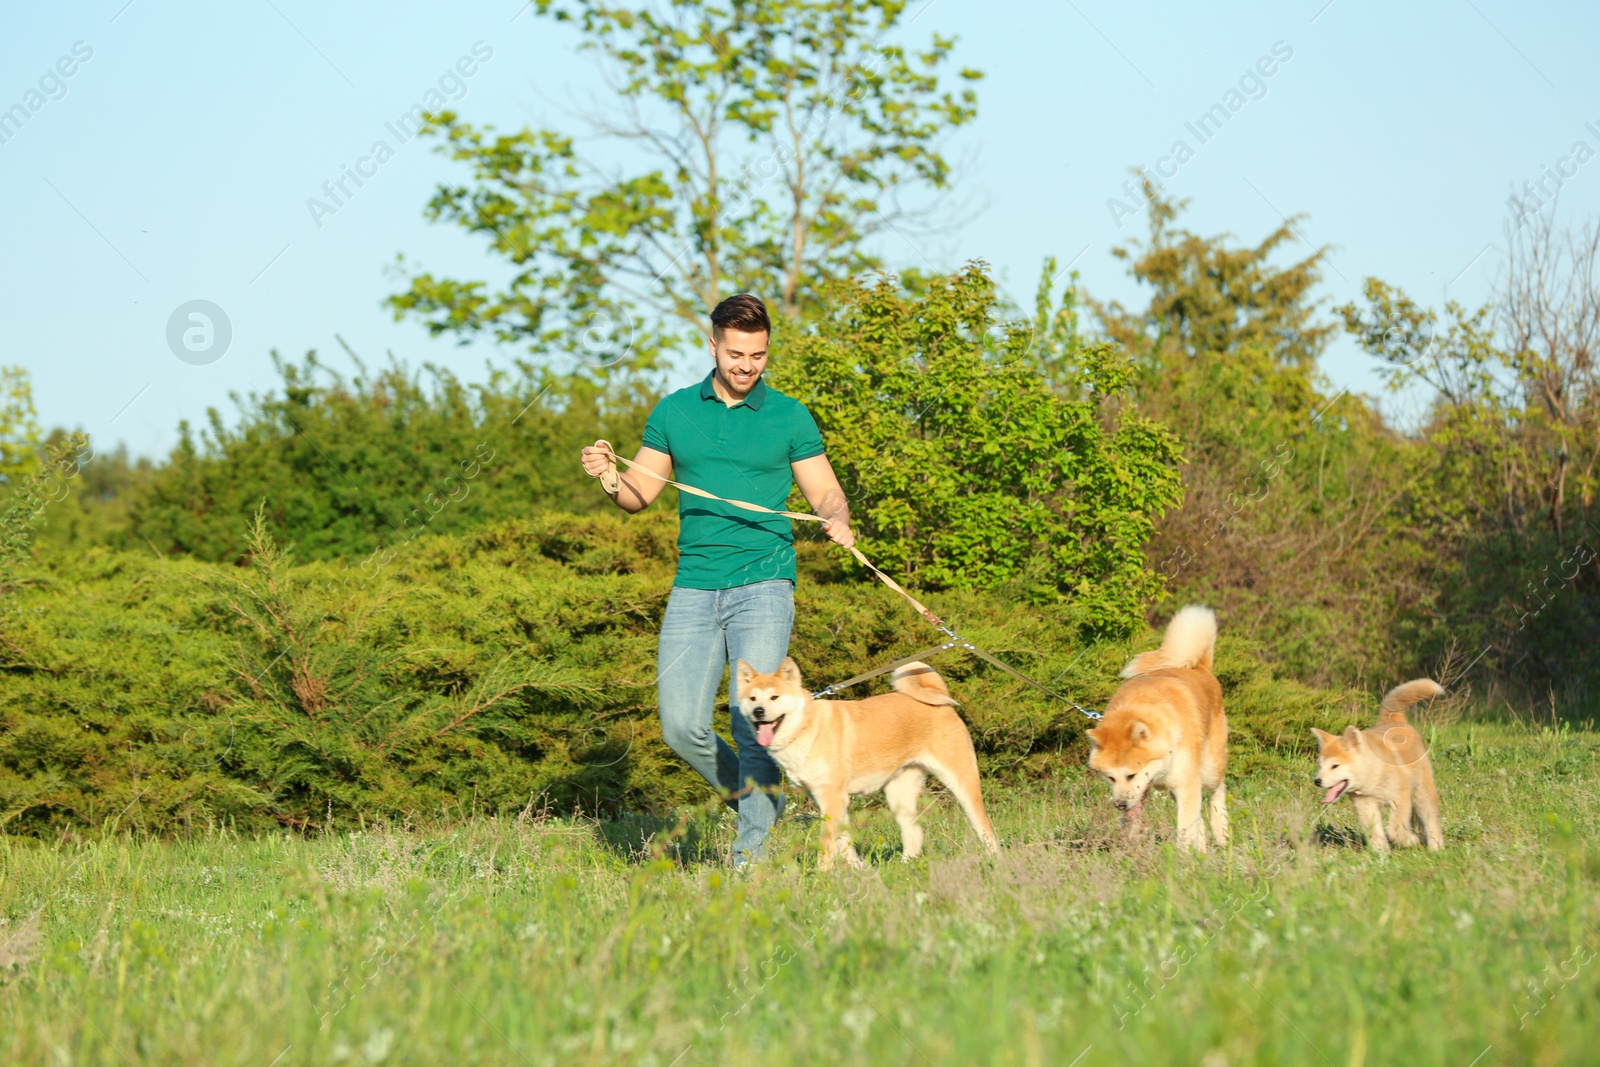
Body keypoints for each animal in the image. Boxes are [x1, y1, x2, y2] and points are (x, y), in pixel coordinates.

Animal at [732, 655, 998, 870]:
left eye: (774, 697)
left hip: (962, 784)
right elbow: (844, 842)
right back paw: (905, 868)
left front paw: (821, 876)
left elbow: (827, 845)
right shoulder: (830, 801)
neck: (807, 727)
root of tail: (940, 698)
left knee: (985, 827)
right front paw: (858, 870)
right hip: (899, 794)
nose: (758, 711)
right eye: (753, 698)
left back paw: (995, 861)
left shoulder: (832, 798)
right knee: (913, 831)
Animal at [1081, 607, 1228, 851]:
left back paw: (1222, 833)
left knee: (1218, 793)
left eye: (1131, 774)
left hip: (1209, 769)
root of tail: (1200, 668)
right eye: (1110, 777)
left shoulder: (1187, 784)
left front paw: (1183, 858)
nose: (1120, 804)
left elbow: (1185, 830)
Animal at [1312, 681, 1452, 857]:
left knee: (1430, 818)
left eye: (1335, 765)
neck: (1373, 774)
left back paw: (1436, 846)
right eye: (1320, 765)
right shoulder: (1365, 805)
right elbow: (1375, 833)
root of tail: (1394, 719)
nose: (1317, 781)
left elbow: (1395, 829)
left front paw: (1409, 840)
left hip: (1422, 792)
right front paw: (1381, 854)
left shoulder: (1400, 798)